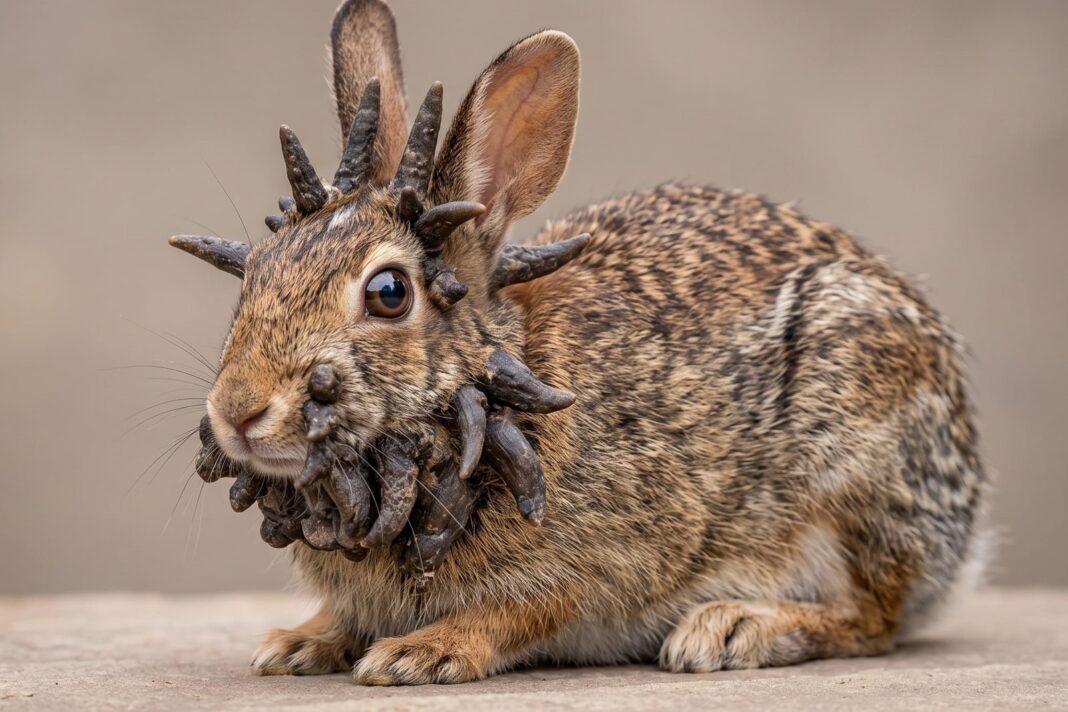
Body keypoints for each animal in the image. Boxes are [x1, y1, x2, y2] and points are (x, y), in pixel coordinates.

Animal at [179, 0, 987, 684]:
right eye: (254, 270)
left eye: (388, 294)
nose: (238, 412)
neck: (486, 395)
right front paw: (298, 642)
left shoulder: (610, 560)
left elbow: (521, 610)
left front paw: (420, 653)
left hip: (848, 457)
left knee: (873, 616)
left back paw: (735, 628)